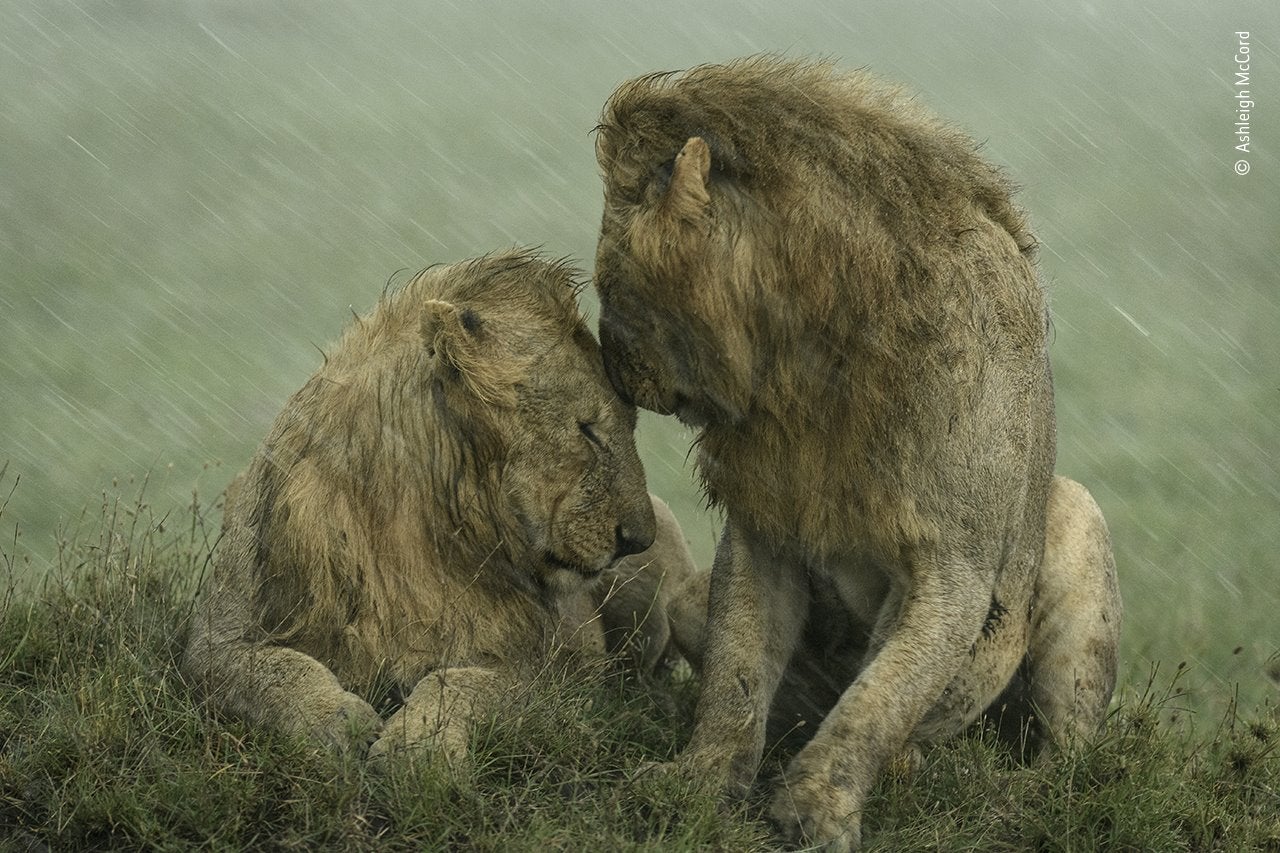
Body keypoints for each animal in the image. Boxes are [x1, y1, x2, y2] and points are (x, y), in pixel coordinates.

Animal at [181, 247, 706, 763]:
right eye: (587, 430)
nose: (637, 539)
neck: (410, 520)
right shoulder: (218, 636)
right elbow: (273, 672)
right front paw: (338, 723)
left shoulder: (551, 671)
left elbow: (458, 681)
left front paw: (419, 744)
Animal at [588, 56, 1121, 845]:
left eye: (609, 283)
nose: (614, 369)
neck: (809, 360)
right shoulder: (764, 528)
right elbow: (735, 676)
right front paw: (697, 784)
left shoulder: (954, 567)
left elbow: (880, 696)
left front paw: (816, 809)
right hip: (686, 597)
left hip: (1074, 520)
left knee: (1066, 749)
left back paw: (1002, 786)